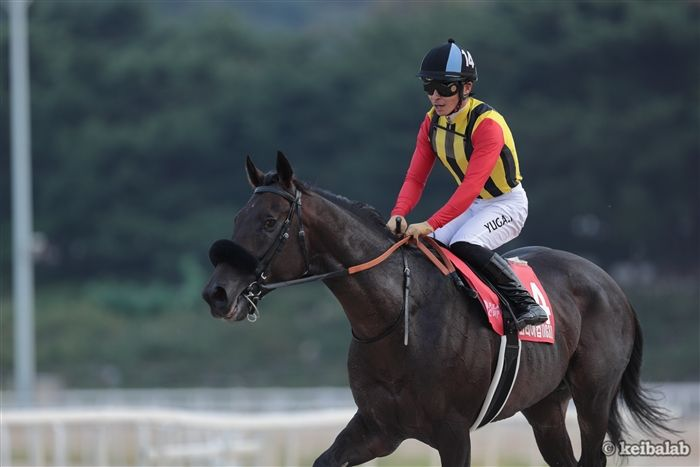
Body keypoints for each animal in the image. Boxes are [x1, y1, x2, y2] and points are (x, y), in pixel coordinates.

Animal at [202, 152, 674, 466]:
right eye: (237, 219)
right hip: (545, 407)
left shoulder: (453, 434)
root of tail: (612, 284)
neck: (397, 317)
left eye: (268, 222)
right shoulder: (378, 428)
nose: (217, 294)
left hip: (593, 396)